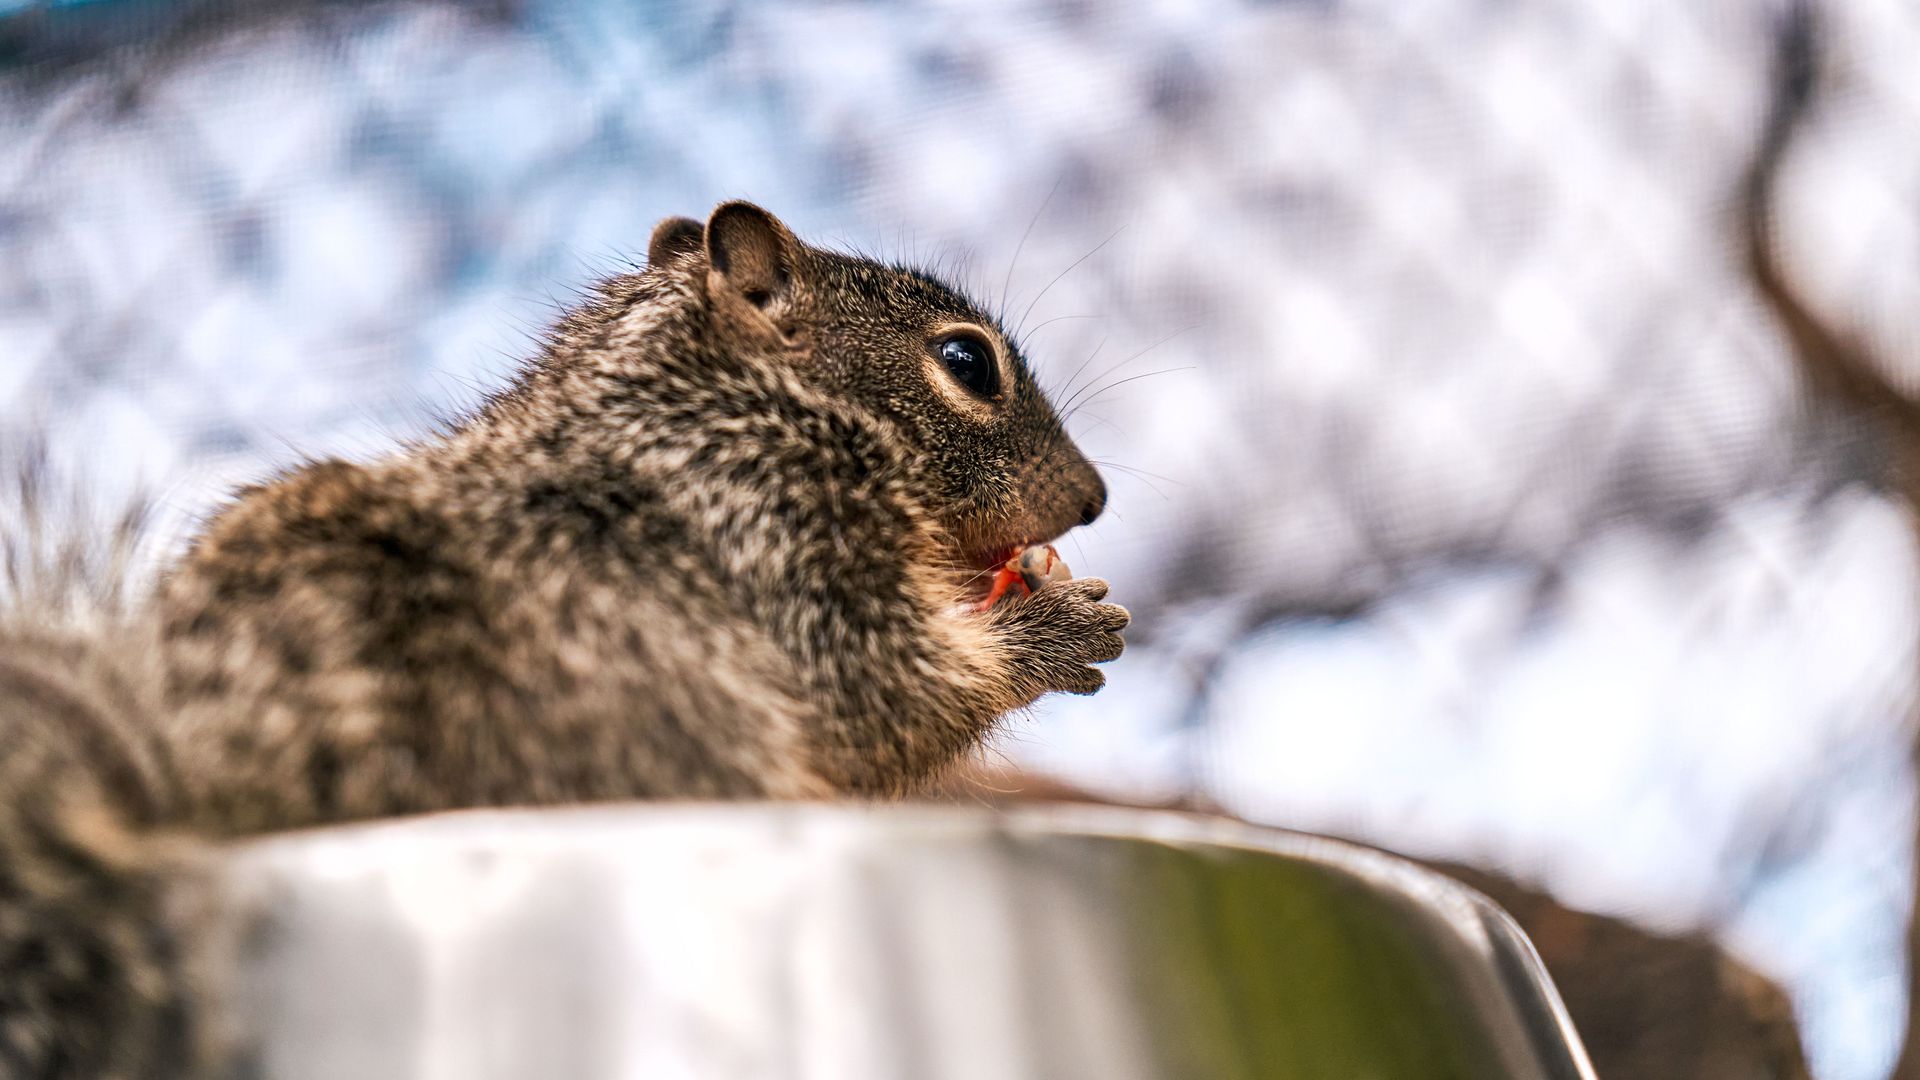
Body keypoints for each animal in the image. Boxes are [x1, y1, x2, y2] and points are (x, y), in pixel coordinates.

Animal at [0, 201, 1128, 1077]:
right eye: (964, 362)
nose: (1092, 499)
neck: (724, 394)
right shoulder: (773, 527)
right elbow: (883, 697)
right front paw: (1054, 629)